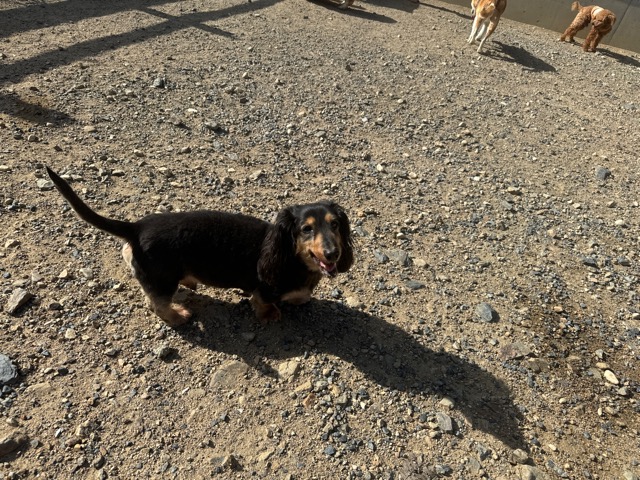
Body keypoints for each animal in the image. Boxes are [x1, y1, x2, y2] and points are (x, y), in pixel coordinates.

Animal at [46, 167, 353, 327]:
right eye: (306, 229)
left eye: (335, 224)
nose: (333, 254)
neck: (293, 258)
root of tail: (137, 227)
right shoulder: (263, 290)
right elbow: (265, 303)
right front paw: (271, 314)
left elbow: (301, 296)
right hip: (164, 278)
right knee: (158, 304)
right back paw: (178, 316)